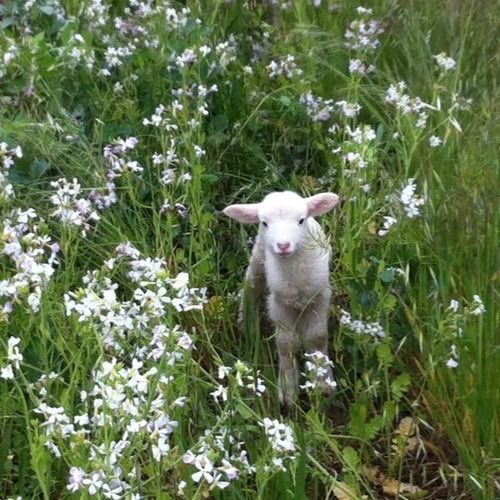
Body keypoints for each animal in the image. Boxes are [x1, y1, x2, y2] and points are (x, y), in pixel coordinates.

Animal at [225, 189, 342, 404]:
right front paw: (288, 388)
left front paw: (322, 382)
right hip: (259, 257)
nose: (283, 245)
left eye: (301, 220)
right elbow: (286, 343)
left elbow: (316, 338)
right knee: (251, 285)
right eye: (264, 222)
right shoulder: (279, 303)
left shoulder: (320, 297)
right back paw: (246, 321)